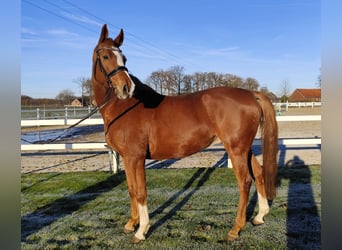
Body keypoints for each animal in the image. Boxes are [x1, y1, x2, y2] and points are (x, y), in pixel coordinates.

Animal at [91, 24, 278, 243]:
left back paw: (235, 229)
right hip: (244, 148)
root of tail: (250, 94)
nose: (126, 88)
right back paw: (259, 216)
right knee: (258, 173)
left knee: (245, 181)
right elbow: (131, 190)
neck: (125, 107)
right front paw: (131, 224)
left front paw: (141, 230)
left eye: (124, 58)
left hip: (237, 149)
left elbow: (140, 192)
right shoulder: (127, 158)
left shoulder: (135, 157)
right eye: (105, 56)